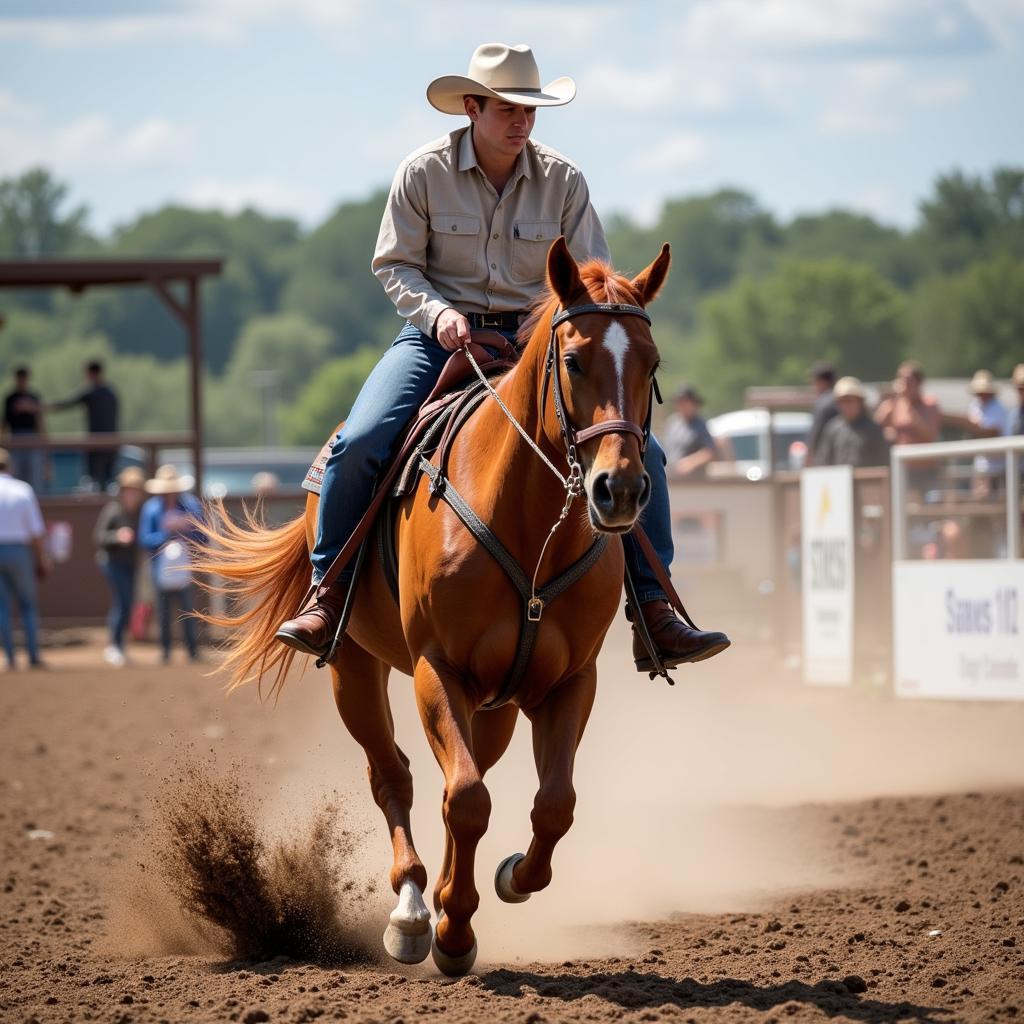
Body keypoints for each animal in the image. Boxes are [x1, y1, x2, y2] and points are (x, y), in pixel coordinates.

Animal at [192, 239, 671, 974]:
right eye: (574, 359)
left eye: (651, 363)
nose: (618, 489)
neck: (528, 526)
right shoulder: (436, 669)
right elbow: (466, 799)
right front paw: (450, 929)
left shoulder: (570, 681)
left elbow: (553, 803)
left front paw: (506, 882)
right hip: (355, 670)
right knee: (397, 776)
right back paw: (415, 908)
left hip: (495, 703)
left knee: (463, 780)